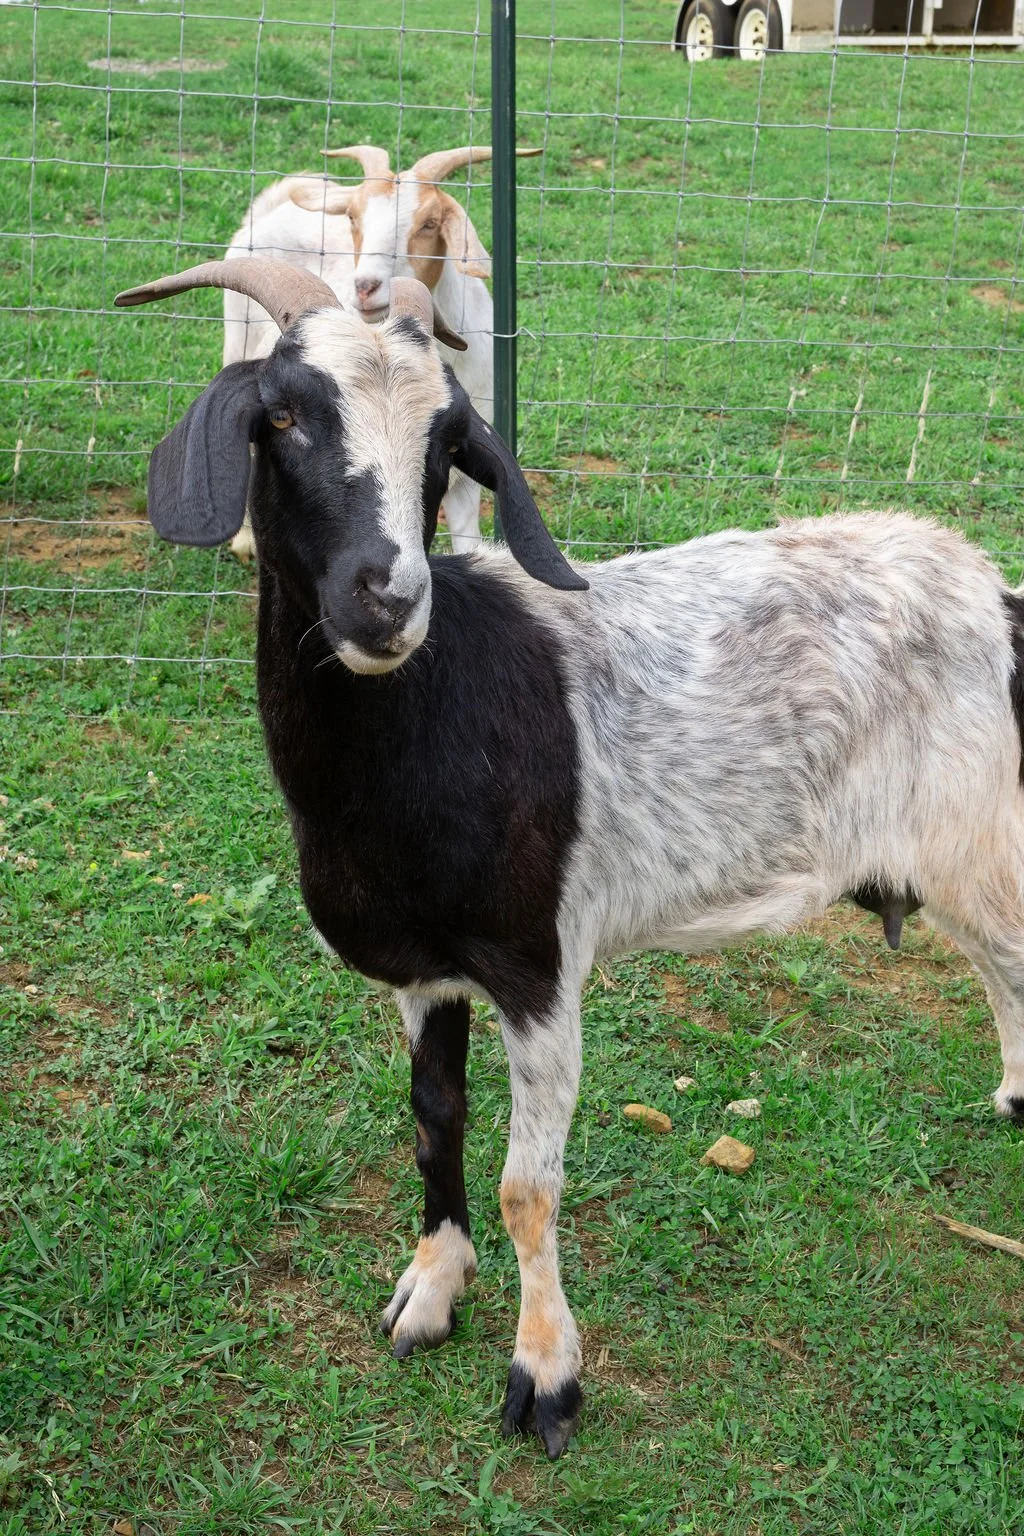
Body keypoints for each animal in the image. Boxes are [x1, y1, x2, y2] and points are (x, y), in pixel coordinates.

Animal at [116, 260, 1024, 1459]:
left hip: (977, 838)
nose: (387, 596)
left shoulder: (538, 966)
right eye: (282, 416)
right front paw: (430, 1290)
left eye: (446, 443)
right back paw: (1014, 1099)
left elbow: (528, 1188)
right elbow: (433, 1123)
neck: (427, 715)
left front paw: (544, 1373)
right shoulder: (427, 971)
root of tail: (997, 596)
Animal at [223, 142, 538, 560]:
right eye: (353, 217)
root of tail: (274, 204)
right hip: (236, 341)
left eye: (430, 223)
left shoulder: (464, 475)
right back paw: (244, 540)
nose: (366, 286)